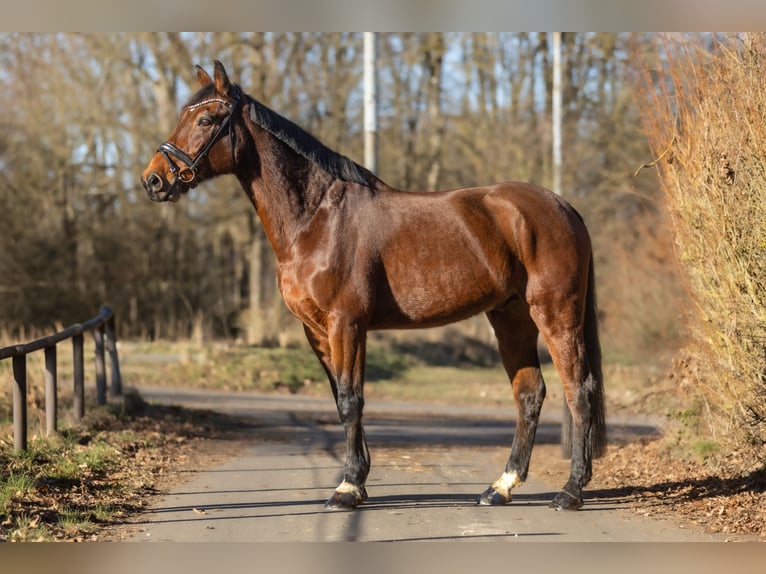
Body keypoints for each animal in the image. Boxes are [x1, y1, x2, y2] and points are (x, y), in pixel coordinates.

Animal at [141, 61, 606, 511]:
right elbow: (342, 399)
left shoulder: (346, 324)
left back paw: (570, 492)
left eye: (206, 119)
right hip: (510, 317)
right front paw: (358, 480)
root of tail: (564, 207)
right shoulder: (317, 331)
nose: (154, 181)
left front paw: (347, 489)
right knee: (530, 394)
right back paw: (501, 487)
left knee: (579, 391)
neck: (317, 218)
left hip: (555, 314)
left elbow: (351, 401)